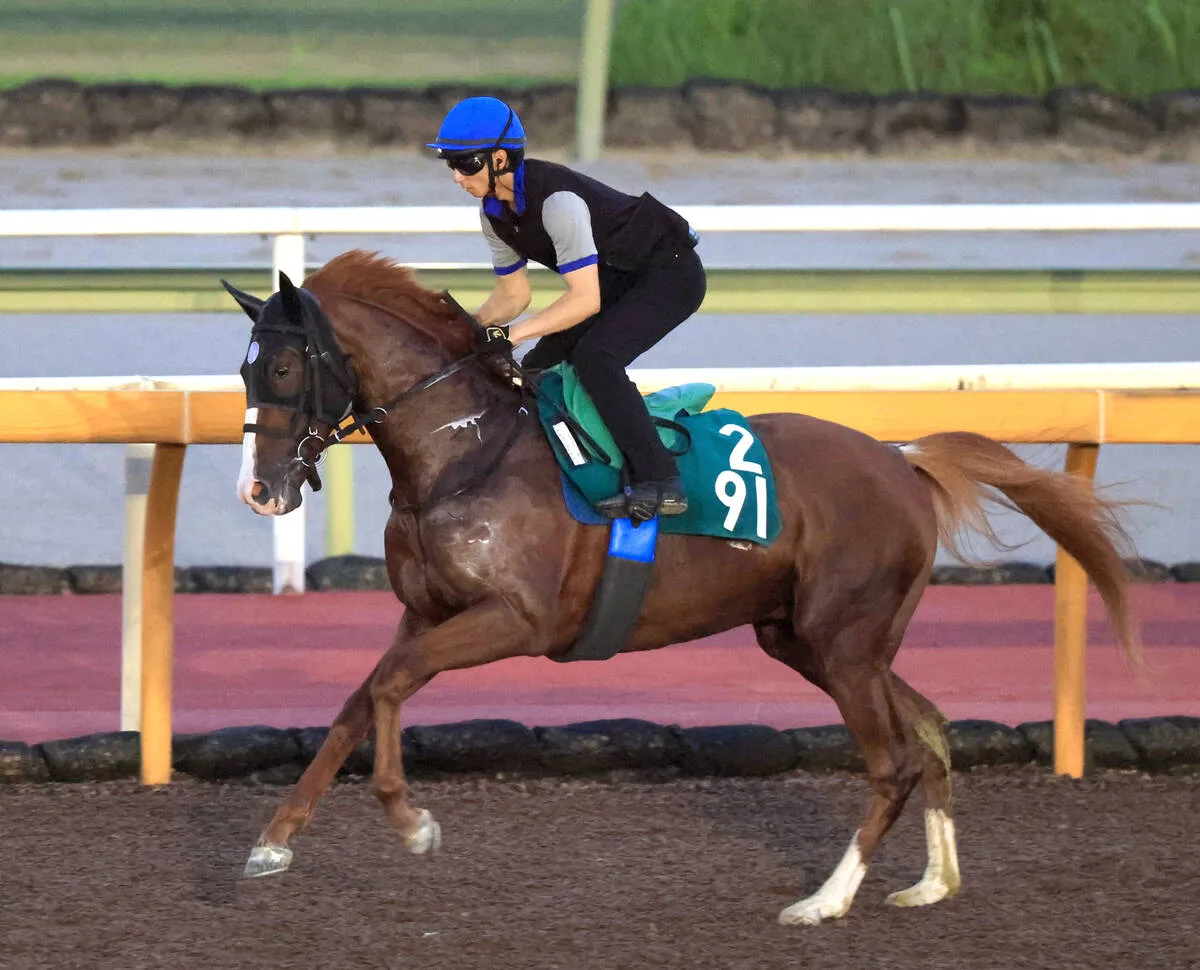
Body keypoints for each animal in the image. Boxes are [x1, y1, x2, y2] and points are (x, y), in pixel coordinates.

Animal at [223, 249, 1139, 926]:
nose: (259, 491)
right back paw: (930, 883)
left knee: (894, 763)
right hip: (815, 639)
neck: (463, 453)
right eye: (243, 371)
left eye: (283, 367)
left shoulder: (516, 620)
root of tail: (902, 459)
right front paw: (274, 839)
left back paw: (826, 901)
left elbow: (390, 688)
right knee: (933, 730)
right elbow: (358, 700)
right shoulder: (423, 614)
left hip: (843, 642)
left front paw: (411, 823)